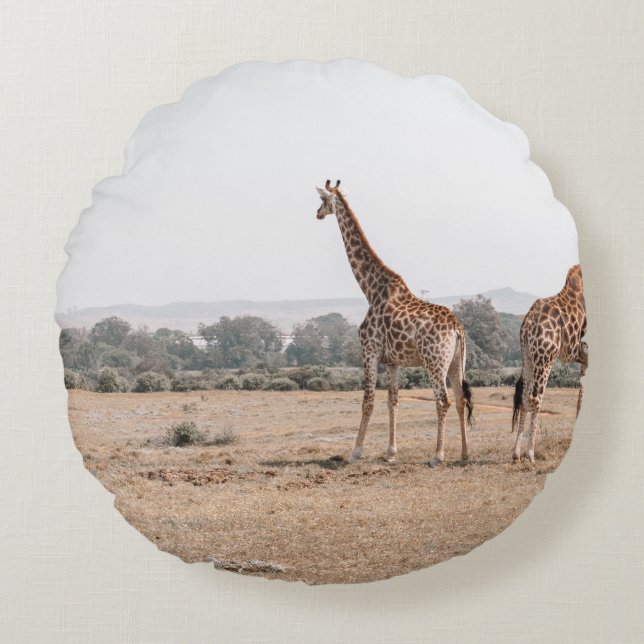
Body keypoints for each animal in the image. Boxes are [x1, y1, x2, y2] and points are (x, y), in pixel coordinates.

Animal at [315, 180, 474, 466]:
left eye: (322, 200)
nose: (317, 214)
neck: (370, 289)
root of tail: (457, 328)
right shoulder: (393, 360)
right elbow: (393, 400)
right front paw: (390, 453)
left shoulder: (369, 350)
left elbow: (367, 400)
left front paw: (355, 452)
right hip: (457, 362)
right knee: (460, 399)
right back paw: (465, 454)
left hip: (434, 361)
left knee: (443, 401)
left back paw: (438, 455)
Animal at [511, 264, 588, 463]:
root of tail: (527, 322)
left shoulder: (583, 356)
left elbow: (580, 397)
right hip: (545, 357)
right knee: (535, 398)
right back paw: (530, 454)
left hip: (528, 357)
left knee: (524, 397)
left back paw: (516, 454)